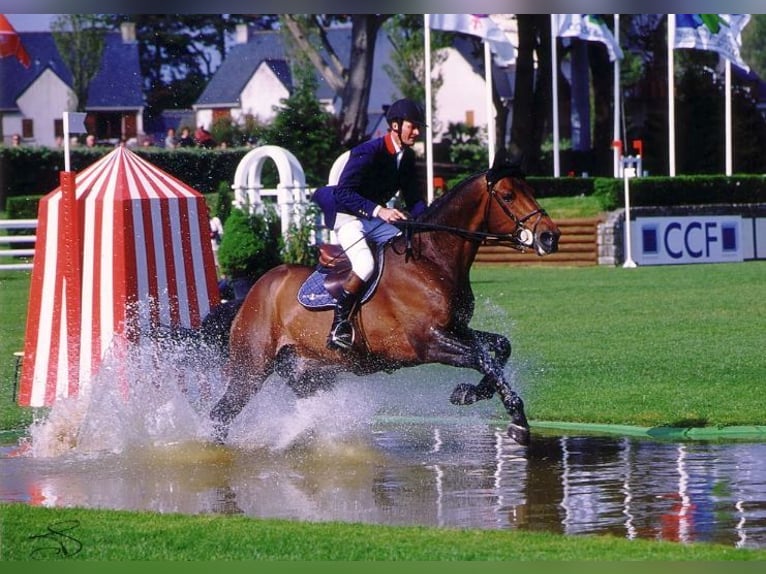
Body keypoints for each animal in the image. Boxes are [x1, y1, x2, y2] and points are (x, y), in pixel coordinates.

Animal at [210, 158, 560, 450]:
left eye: (530, 191)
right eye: (509, 196)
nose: (550, 237)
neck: (432, 261)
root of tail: (253, 293)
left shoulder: (456, 328)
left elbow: (498, 349)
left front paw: (469, 393)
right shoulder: (428, 342)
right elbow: (481, 358)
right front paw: (517, 420)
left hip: (308, 373)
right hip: (251, 368)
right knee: (220, 414)